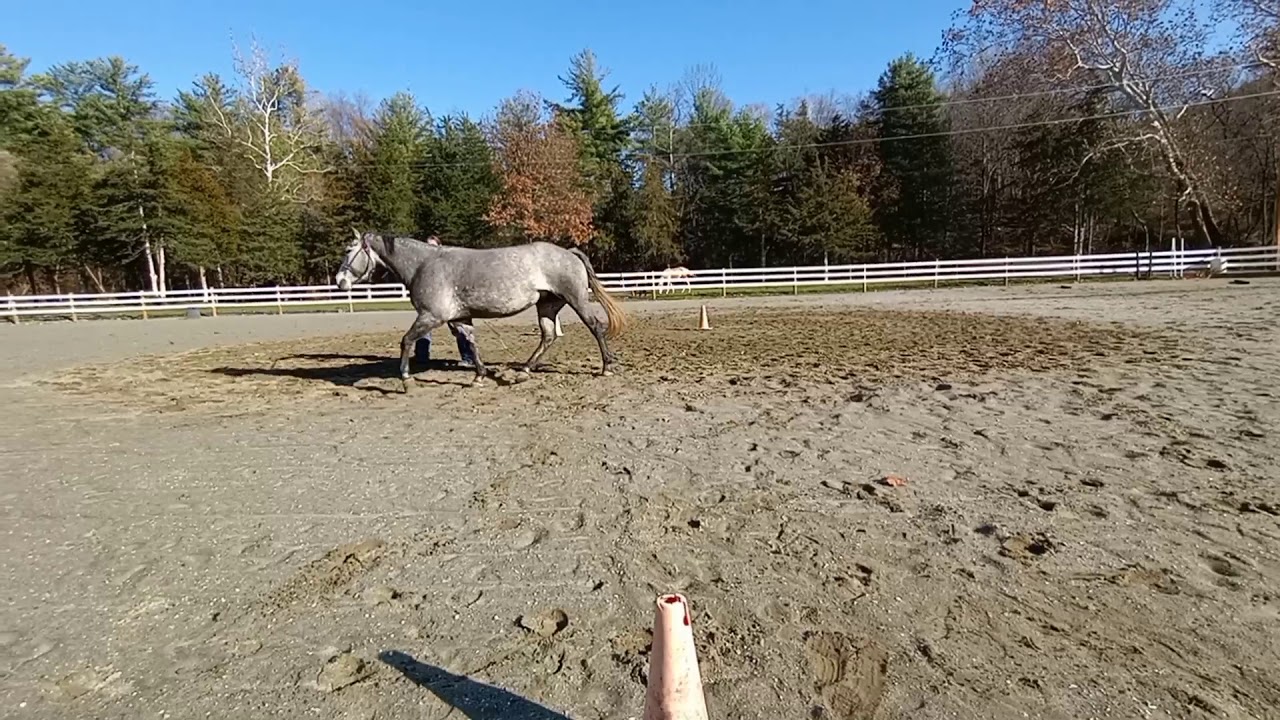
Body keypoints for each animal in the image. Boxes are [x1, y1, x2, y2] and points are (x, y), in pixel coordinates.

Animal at [334, 230, 627, 391]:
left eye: (349, 250)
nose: (340, 281)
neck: (424, 264)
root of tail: (568, 252)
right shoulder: (459, 318)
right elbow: (471, 343)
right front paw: (479, 376)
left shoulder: (431, 316)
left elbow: (406, 341)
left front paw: (406, 380)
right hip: (547, 305)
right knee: (548, 336)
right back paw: (523, 371)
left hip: (576, 300)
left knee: (595, 327)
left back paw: (606, 367)